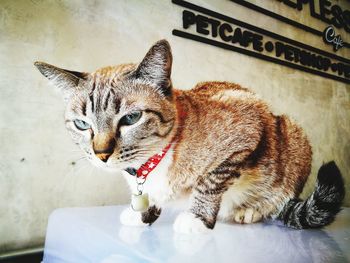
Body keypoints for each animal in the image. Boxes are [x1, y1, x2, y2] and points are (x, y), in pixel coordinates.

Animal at [35, 39, 344, 235]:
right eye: (81, 124)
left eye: (131, 119)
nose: (101, 155)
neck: (149, 164)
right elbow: (148, 198)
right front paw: (142, 214)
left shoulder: (244, 133)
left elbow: (209, 184)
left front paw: (196, 218)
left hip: (292, 133)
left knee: (282, 198)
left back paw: (251, 210)